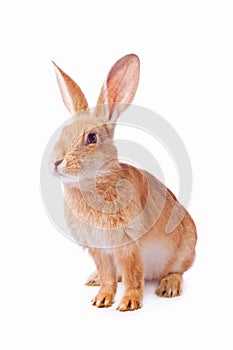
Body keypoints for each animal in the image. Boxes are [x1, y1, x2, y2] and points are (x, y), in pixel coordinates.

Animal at [50, 54, 198, 312]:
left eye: (91, 138)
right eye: (63, 132)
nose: (57, 162)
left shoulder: (128, 245)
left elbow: (132, 276)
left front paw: (128, 303)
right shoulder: (99, 250)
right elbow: (108, 276)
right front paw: (101, 299)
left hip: (184, 248)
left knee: (177, 270)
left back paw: (169, 287)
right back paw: (93, 279)